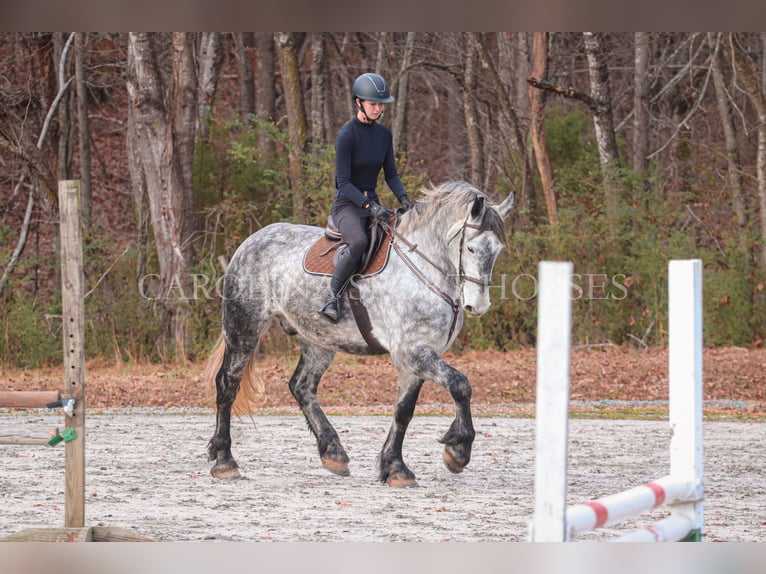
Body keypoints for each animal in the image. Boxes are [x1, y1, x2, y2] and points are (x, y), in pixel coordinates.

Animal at [204, 182, 516, 488]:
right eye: (471, 249)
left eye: (497, 250)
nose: (478, 305)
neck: (425, 269)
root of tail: (252, 240)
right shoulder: (411, 352)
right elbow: (460, 385)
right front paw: (458, 450)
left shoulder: (416, 359)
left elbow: (403, 411)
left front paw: (395, 467)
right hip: (244, 329)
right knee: (228, 385)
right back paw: (225, 460)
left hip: (318, 340)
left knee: (301, 386)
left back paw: (333, 452)